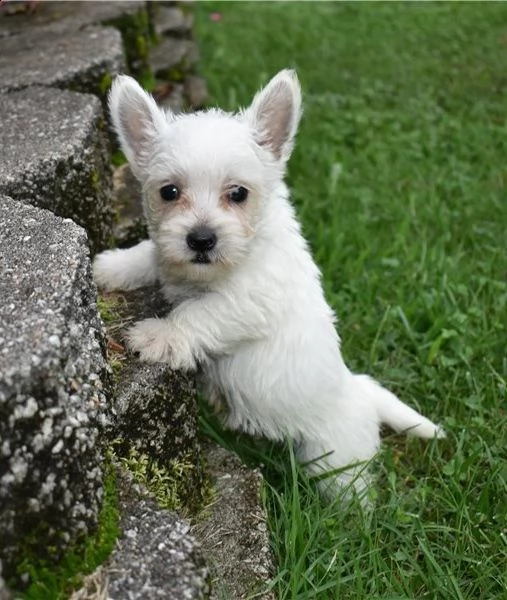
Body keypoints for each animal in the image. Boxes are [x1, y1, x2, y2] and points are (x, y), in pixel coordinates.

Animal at [94, 70, 444, 500]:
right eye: (169, 191)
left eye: (238, 193)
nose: (201, 239)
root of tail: (359, 387)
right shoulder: (170, 257)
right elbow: (151, 255)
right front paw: (113, 265)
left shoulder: (248, 299)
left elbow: (198, 312)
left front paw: (160, 335)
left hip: (333, 459)